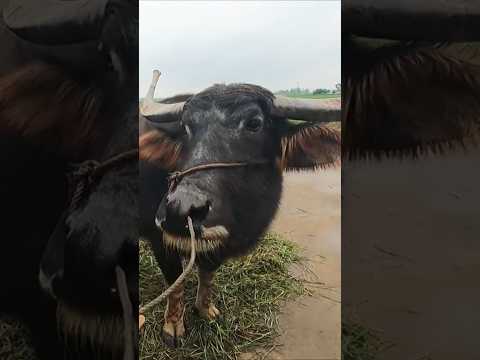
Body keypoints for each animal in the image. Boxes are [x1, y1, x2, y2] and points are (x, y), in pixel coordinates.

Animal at [139, 71, 342, 346]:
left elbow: (207, 274)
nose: (179, 211)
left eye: (254, 123)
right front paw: (172, 327)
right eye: (185, 126)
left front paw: (205, 309)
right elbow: (176, 283)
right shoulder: (160, 240)